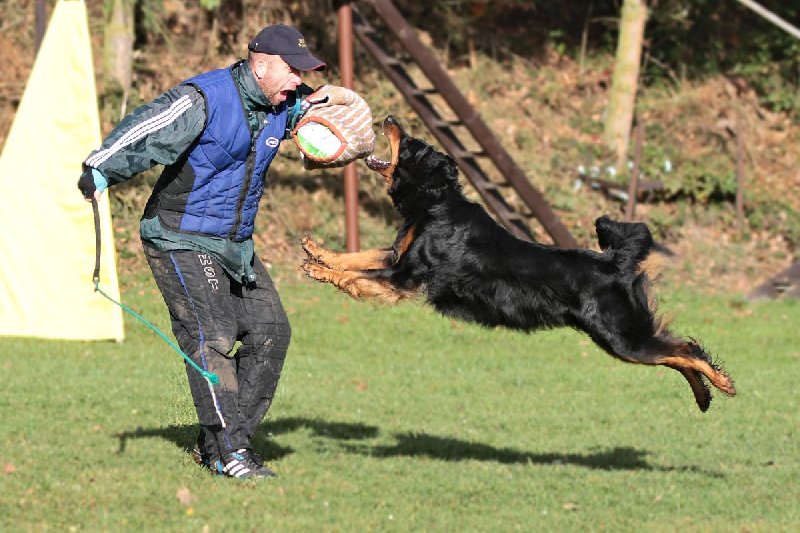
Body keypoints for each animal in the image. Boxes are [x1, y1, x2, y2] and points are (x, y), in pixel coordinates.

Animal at [302, 114, 736, 410]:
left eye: (410, 143)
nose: (391, 118)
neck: (436, 202)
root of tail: (615, 262)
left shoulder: (403, 276)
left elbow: (359, 274)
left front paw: (319, 269)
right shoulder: (398, 257)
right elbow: (357, 257)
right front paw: (319, 250)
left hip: (622, 337)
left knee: (686, 350)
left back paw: (722, 383)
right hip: (621, 339)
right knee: (677, 352)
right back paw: (704, 396)